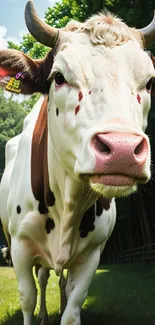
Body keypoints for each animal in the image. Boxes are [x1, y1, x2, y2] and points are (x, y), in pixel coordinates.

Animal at [0, 0, 154, 324]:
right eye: (58, 77)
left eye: (149, 83)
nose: (122, 149)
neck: (68, 205)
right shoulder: (19, 247)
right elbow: (27, 297)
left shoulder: (93, 253)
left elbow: (73, 304)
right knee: (43, 278)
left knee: (57, 280)